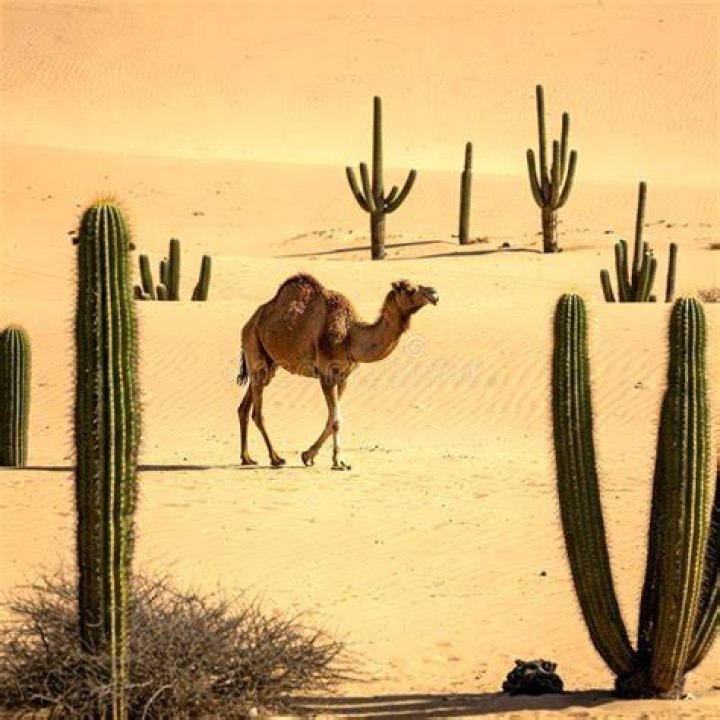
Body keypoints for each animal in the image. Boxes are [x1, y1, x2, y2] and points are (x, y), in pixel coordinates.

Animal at [237, 273, 439, 470]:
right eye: (409, 289)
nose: (434, 293)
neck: (351, 334)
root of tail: (248, 323)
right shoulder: (326, 375)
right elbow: (336, 420)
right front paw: (338, 462)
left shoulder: (343, 377)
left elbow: (332, 418)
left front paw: (309, 456)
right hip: (255, 350)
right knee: (257, 413)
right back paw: (275, 458)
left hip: (270, 364)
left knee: (244, 407)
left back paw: (247, 458)